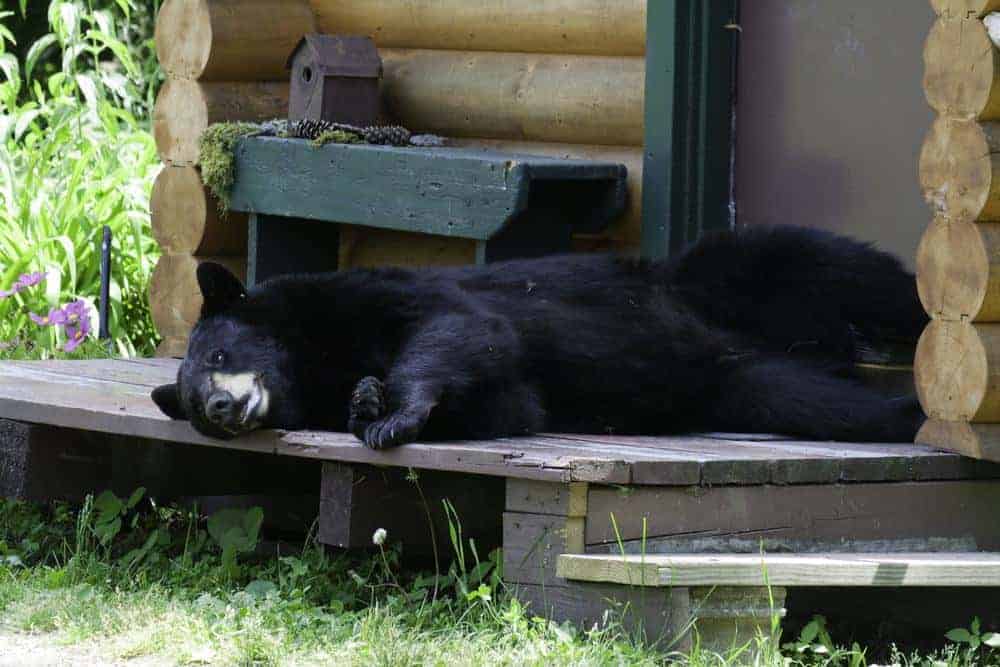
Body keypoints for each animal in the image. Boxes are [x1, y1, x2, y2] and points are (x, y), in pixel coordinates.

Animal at [152, 224, 924, 448]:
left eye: (219, 352)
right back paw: (897, 406)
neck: (314, 356)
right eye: (190, 402)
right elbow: (510, 405)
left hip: (717, 279)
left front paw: (393, 409)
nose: (218, 406)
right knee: (820, 400)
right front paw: (366, 401)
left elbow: (455, 328)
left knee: (836, 266)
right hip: (740, 383)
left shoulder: (372, 293)